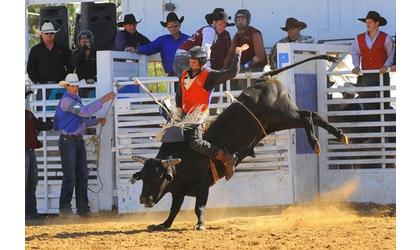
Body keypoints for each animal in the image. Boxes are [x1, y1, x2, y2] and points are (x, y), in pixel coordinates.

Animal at [130, 54, 348, 230]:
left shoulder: (202, 184)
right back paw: (339, 135)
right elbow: (174, 209)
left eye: (157, 177)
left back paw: (315, 143)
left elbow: (199, 206)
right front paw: (163, 224)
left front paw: (200, 224)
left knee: (307, 116)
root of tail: (264, 78)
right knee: (312, 115)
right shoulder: (178, 190)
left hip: (282, 113)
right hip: (277, 122)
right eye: (144, 177)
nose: (143, 198)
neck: (182, 156)